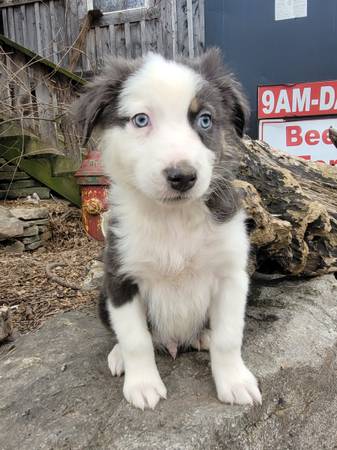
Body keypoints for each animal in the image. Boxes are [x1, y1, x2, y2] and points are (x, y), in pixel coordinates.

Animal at [75, 50, 262, 412]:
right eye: (141, 120)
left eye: (205, 120)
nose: (182, 177)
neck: (173, 217)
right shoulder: (120, 277)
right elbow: (135, 339)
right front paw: (143, 384)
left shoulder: (232, 275)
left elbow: (229, 338)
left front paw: (235, 382)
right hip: (102, 297)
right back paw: (118, 356)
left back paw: (203, 336)